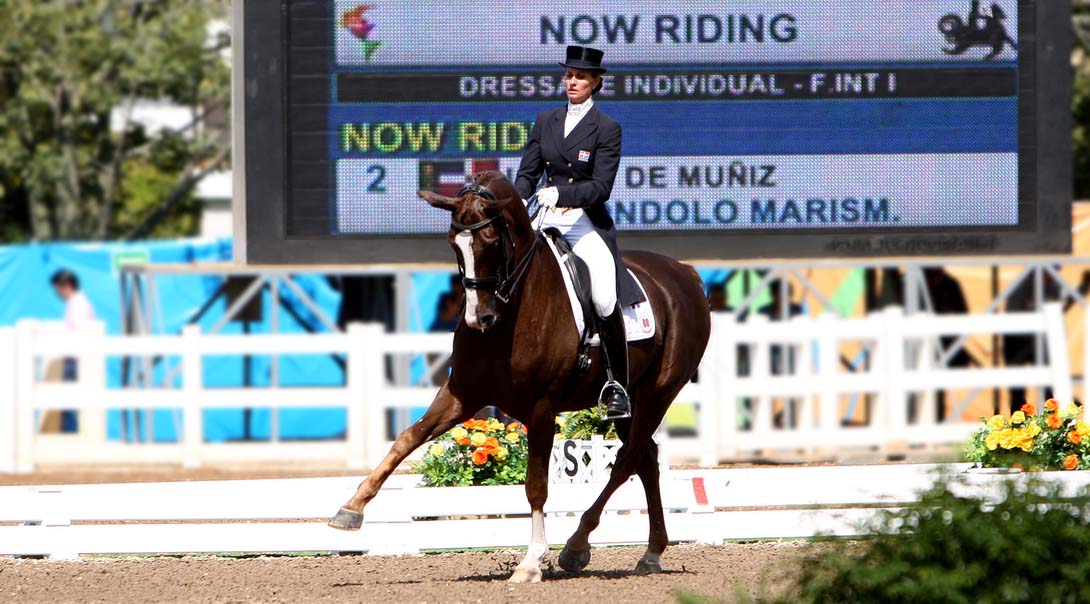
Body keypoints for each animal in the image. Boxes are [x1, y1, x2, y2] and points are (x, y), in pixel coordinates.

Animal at [327, 168, 710, 580]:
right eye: (453, 243)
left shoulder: (542, 408)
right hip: (632, 398)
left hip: (658, 392)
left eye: (492, 241)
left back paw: (577, 547)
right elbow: (407, 438)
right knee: (647, 458)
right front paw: (350, 509)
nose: (479, 318)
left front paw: (531, 562)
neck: (511, 313)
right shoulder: (463, 393)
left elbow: (536, 486)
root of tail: (684, 271)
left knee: (627, 459)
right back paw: (650, 553)